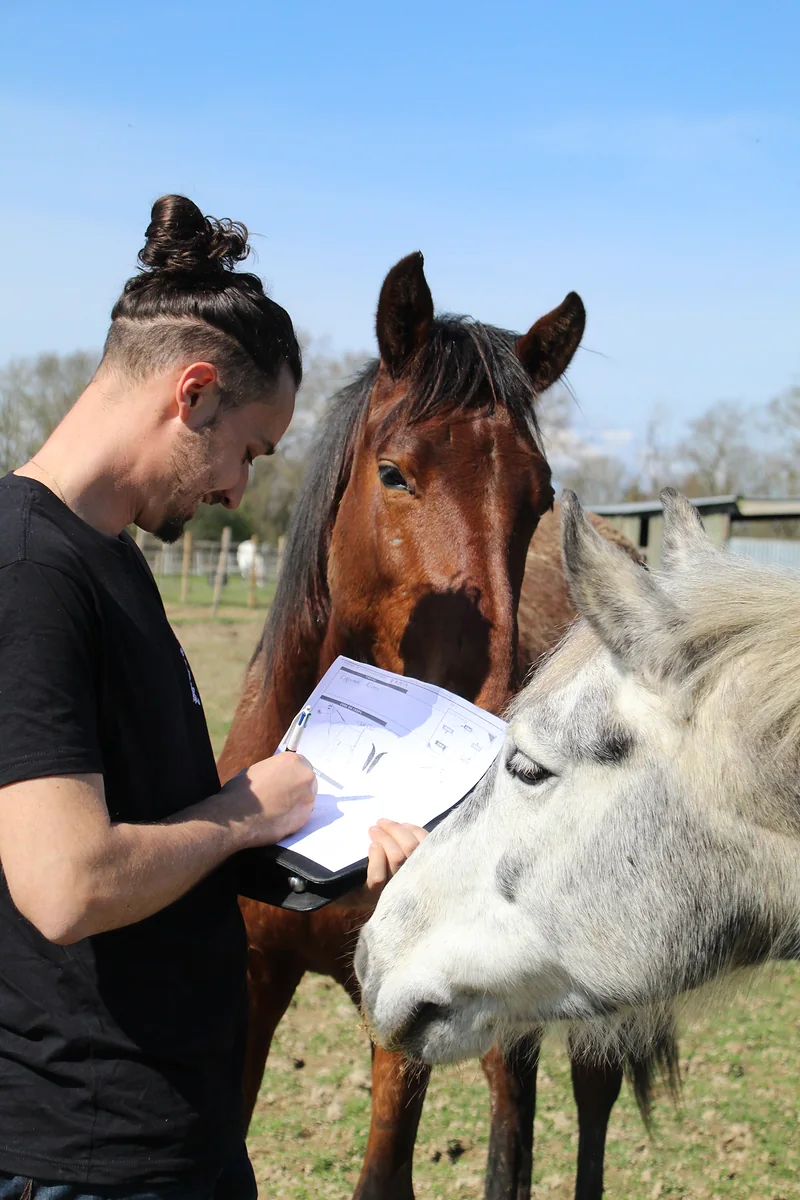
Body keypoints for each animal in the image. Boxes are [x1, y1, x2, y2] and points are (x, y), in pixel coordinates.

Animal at [219, 254, 673, 1200]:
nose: (499, 721)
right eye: (394, 473)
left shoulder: (401, 1009)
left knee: (590, 1092)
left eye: (538, 497)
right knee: (515, 1091)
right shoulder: (257, 977)